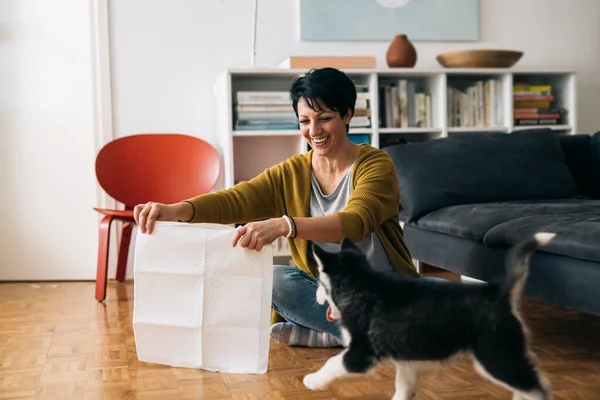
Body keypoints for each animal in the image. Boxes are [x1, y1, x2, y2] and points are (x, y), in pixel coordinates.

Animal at [304, 233, 556, 398]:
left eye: (319, 283)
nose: (315, 296)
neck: (359, 283)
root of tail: (498, 292)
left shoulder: (362, 353)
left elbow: (332, 362)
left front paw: (313, 380)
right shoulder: (406, 359)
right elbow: (403, 388)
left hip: (495, 355)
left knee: (538, 387)